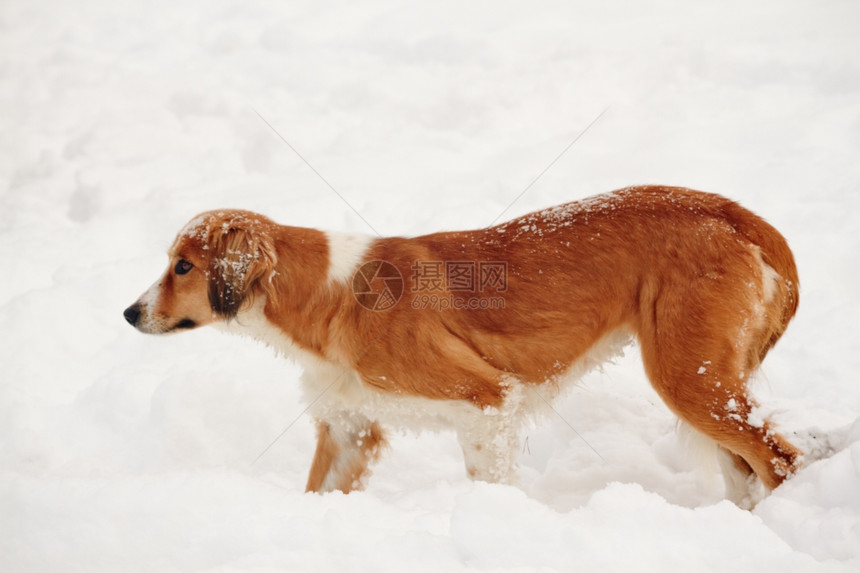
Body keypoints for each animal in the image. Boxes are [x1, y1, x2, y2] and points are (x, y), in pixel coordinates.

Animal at [124, 185, 804, 502]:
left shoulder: (487, 402)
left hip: (688, 377)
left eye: (182, 267)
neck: (328, 295)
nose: (130, 314)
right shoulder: (348, 429)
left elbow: (491, 482)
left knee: (780, 461)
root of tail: (730, 213)